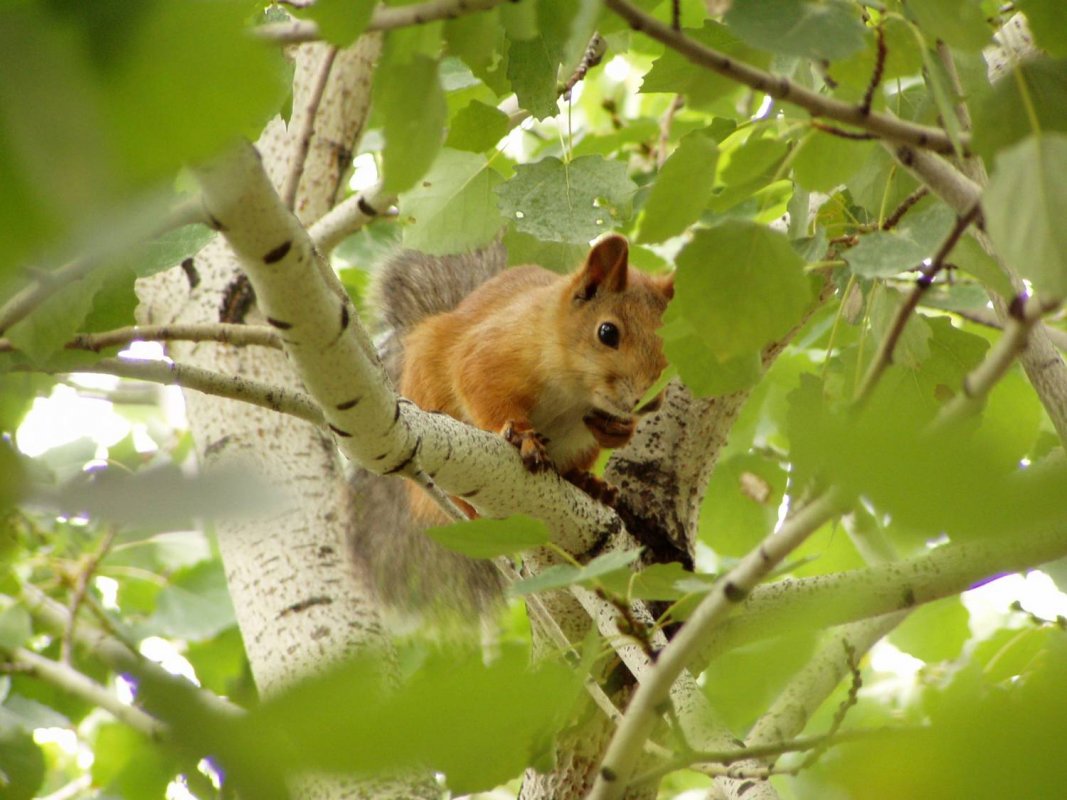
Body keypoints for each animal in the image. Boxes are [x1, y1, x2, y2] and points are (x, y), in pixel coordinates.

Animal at [401, 233, 674, 520]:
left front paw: (621, 429)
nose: (652, 402)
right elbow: (479, 385)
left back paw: (589, 483)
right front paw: (522, 436)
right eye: (607, 332)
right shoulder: (490, 352)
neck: (573, 394)